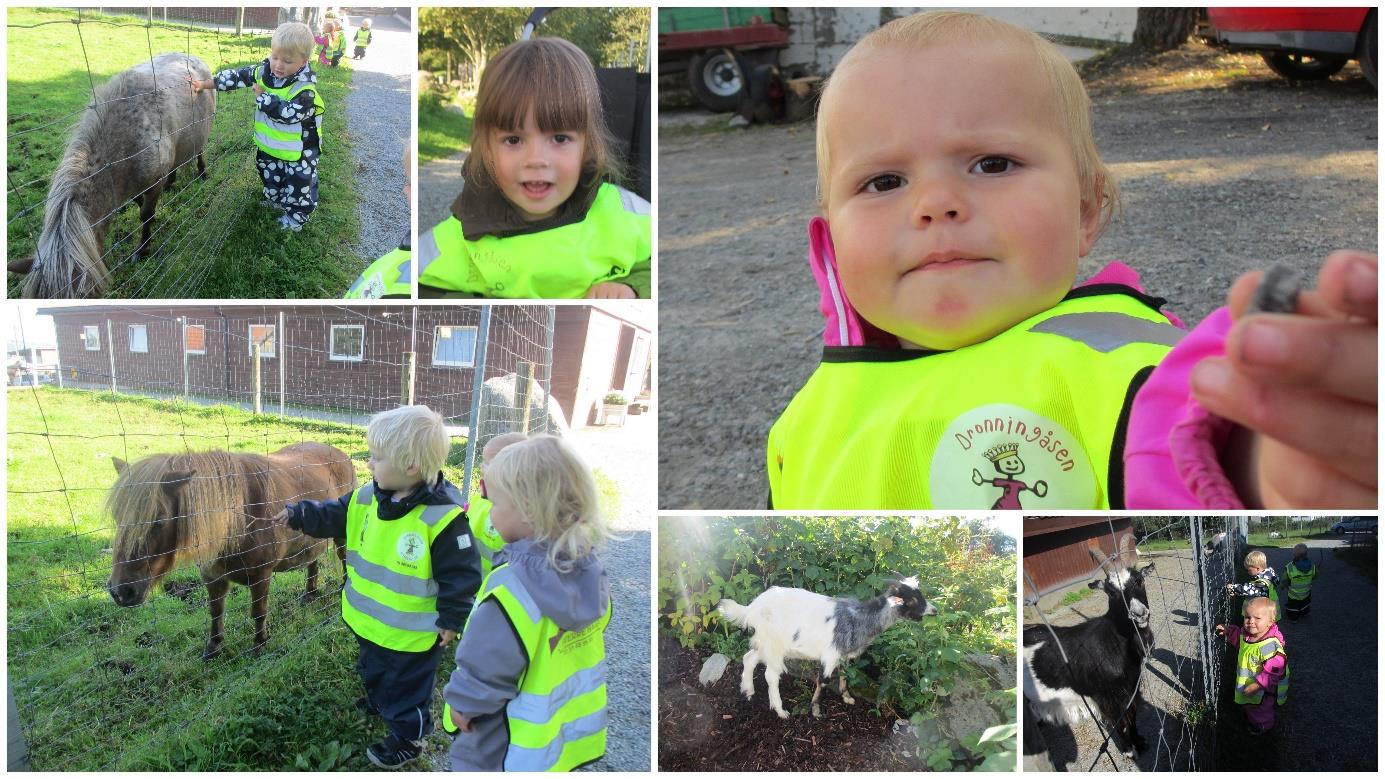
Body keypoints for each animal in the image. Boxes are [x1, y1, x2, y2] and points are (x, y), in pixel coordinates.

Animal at [108, 443, 357, 654]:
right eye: (116, 517)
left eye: (158, 520)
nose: (120, 591)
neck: (239, 517)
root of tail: (341, 454)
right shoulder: (212, 576)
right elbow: (215, 611)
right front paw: (214, 646)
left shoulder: (261, 576)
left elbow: (258, 612)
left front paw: (259, 645)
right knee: (312, 559)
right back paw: (310, 593)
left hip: (341, 536)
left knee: (344, 558)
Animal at [720, 571, 936, 715]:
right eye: (912, 600)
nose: (935, 610)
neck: (858, 619)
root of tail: (751, 608)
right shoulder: (830, 654)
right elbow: (823, 680)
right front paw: (815, 709)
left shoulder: (843, 654)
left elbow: (844, 674)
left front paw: (847, 697)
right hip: (774, 644)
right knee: (771, 675)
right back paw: (780, 711)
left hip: (764, 642)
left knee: (749, 658)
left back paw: (748, 690)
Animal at [1024, 537, 1152, 754]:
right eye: (1111, 592)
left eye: (1139, 580)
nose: (1139, 614)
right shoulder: (1105, 697)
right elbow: (1119, 722)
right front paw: (1128, 749)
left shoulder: (1130, 688)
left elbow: (1133, 714)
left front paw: (1140, 742)